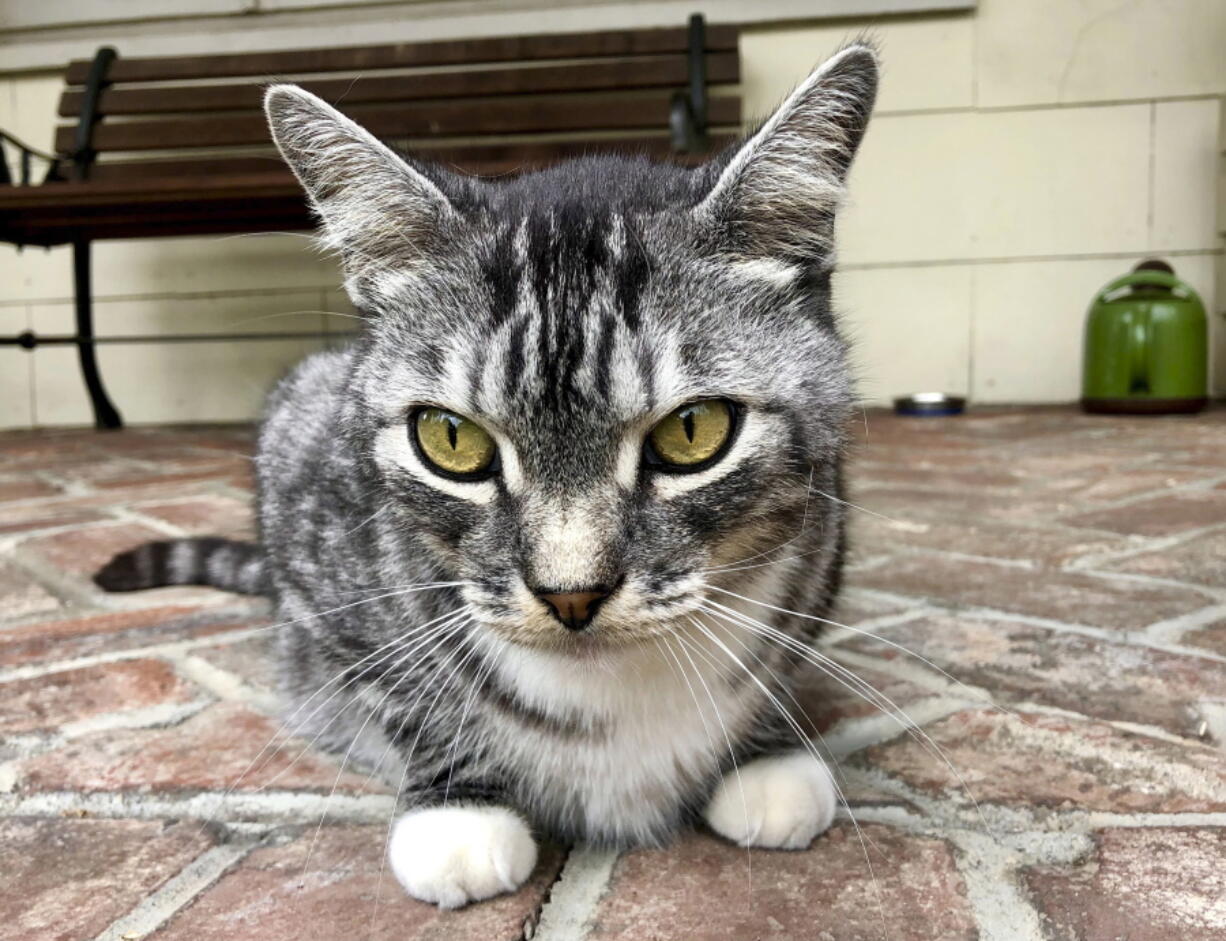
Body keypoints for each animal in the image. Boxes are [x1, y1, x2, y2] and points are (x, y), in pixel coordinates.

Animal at [98, 44, 882, 911]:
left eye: (693, 431)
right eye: (451, 439)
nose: (570, 594)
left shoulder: (826, 537)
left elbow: (787, 652)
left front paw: (767, 752)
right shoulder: (315, 531)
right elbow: (403, 685)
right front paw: (457, 812)